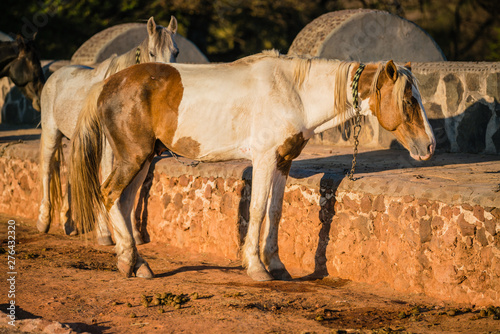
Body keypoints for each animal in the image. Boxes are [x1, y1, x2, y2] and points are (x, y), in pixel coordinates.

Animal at [37, 16, 178, 245]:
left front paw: (134, 234)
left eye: (176, 52)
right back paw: (44, 220)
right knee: (47, 169)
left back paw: (70, 223)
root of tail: (56, 74)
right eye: (152, 53)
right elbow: (105, 181)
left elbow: (132, 188)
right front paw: (105, 233)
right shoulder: (108, 149)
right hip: (51, 133)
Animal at [68, 49, 436, 280]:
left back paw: (135, 263)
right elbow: (257, 210)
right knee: (110, 194)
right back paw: (130, 261)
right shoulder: (263, 158)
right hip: (133, 156)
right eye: (408, 100)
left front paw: (277, 265)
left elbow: (275, 211)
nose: (429, 145)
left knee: (123, 202)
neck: (294, 93)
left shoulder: (283, 161)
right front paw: (257, 267)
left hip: (144, 159)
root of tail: (107, 84)